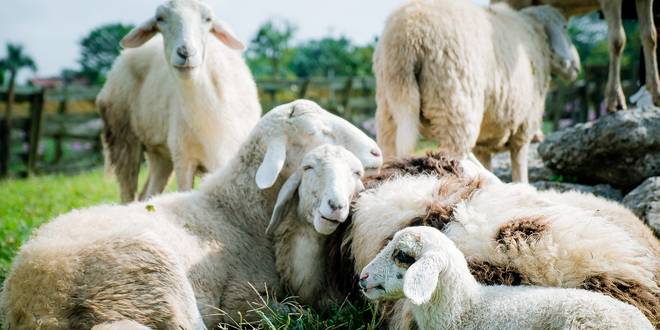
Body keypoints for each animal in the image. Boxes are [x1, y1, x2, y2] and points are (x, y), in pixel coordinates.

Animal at [0, 100, 384, 330]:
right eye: (317, 132)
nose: (377, 152)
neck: (236, 209)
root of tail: (36, 303)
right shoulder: (243, 298)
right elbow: (293, 312)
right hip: (156, 281)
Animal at [96, 0, 262, 204]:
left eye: (208, 19)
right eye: (160, 19)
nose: (185, 52)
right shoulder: (184, 159)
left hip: (160, 153)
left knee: (147, 193)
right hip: (123, 138)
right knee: (128, 193)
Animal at [374, 0, 580, 183]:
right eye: (565, 27)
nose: (576, 66)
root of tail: (407, 36)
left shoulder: (486, 138)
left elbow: (487, 161)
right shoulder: (525, 123)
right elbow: (519, 163)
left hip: (390, 105)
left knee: (390, 148)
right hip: (454, 102)